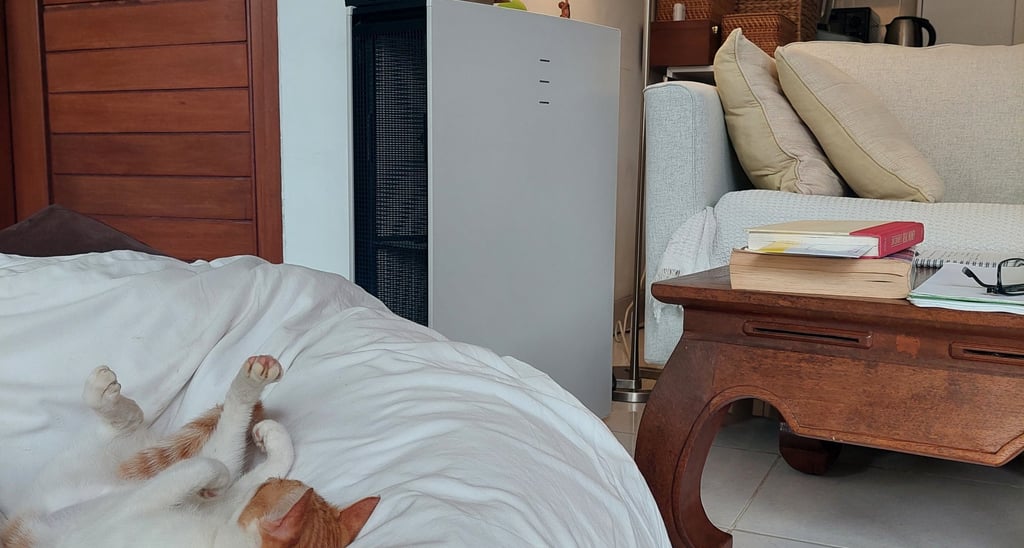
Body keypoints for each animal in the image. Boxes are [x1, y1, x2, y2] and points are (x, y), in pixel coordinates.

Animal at [0, 355, 378, 547]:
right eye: (272, 486)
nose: (265, 481)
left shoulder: (137, 508)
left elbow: (208, 466)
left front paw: (217, 480)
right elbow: (251, 462)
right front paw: (272, 439)